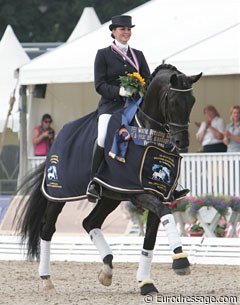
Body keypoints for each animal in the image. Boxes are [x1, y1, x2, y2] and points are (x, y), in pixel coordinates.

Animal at [14, 63, 202, 294]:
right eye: (173, 101)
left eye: (192, 101)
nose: (182, 142)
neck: (147, 133)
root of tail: (58, 139)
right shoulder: (139, 193)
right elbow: (165, 215)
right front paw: (181, 261)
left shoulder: (157, 194)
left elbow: (150, 237)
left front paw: (146, 282)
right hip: (58, 195)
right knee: (48, 229)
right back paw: (46, 278)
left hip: (110, 197)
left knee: (89, 222)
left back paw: (107, 270)